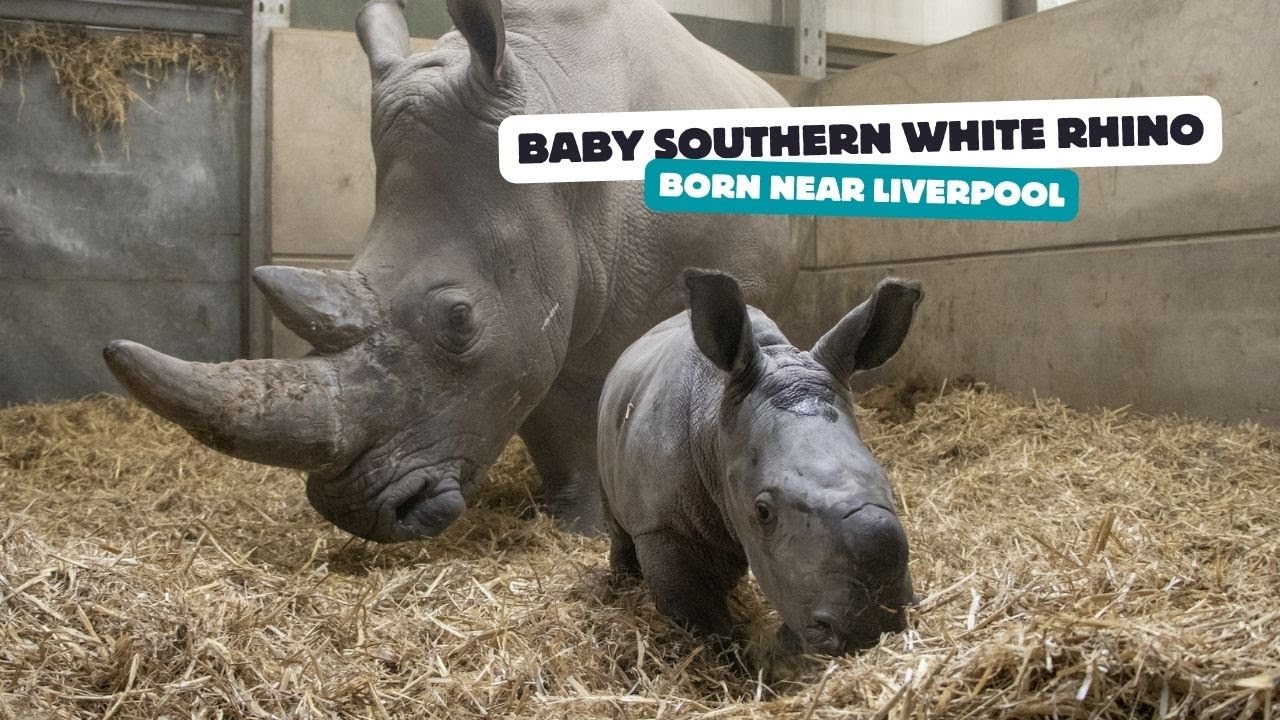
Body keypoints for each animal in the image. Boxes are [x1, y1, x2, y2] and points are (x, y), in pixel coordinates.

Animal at [598, 270, 921, 654]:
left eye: (886, 482)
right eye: (763, 512)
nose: (871, 628)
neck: (715, 424)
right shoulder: (661, 525)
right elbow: (703, 619)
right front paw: (744, 655)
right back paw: (622, 580)